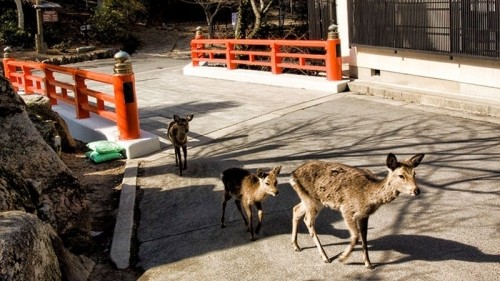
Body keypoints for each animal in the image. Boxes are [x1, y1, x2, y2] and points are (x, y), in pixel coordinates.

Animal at [290, 152, 426, 268]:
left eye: (414, 174)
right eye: (401, 175)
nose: (416, 190)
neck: (367, 196)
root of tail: (293, 175)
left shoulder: (364, 215)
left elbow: (364, 237)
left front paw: (368, 264)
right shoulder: (347, 210)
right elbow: (356, 235)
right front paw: (342, 258)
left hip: (310, 199)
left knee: (296, 209)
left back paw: (296, 245)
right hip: (312, 199)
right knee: (308, 220)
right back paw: (325, 257)